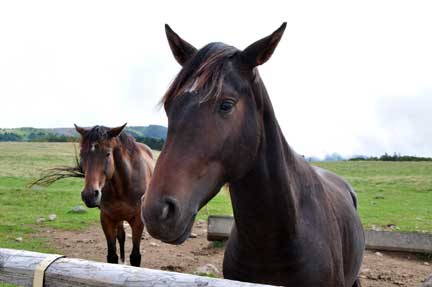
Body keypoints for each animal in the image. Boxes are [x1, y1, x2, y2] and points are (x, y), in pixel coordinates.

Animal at [74, 124, 154, 268]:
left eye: (107, 153)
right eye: (82, 154)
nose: (89, 195)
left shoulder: (138, 220)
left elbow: (135, 257)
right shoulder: (107, 219)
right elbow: (112, 256)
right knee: (121, 236)